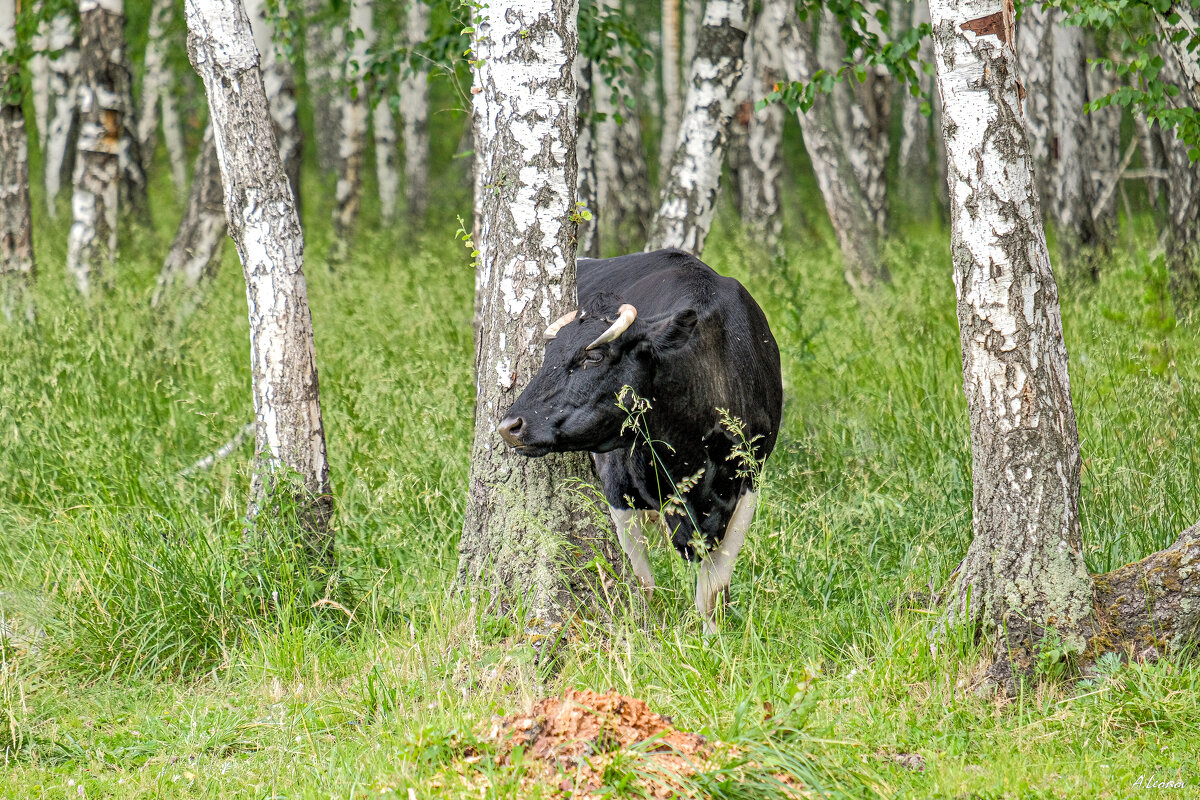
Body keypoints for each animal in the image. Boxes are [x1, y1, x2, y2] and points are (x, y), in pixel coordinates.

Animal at [494, 248, 782, 633]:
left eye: (593, 356)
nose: (509, 425)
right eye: (546, 358)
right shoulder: (618, 490)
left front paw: (711, 637)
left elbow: (713, 593)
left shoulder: (748, 480)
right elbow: (643, 583)